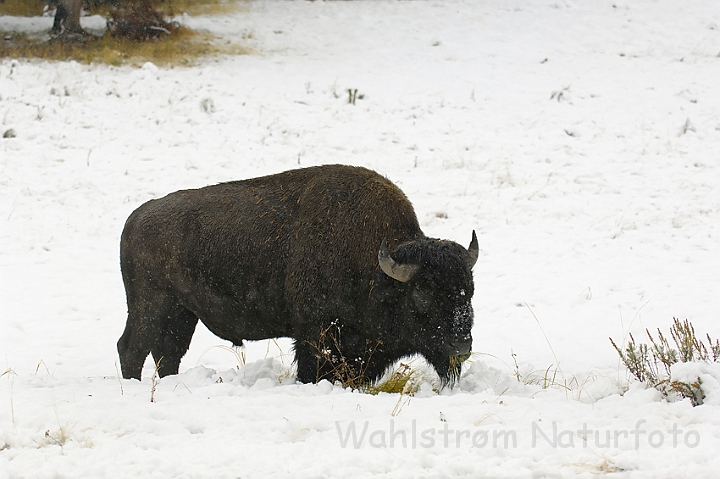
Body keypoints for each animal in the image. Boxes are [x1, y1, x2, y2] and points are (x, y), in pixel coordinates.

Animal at [118, 165, 478, 386]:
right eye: (423, 295)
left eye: (469, 291)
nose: (461, 346)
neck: (376, 269)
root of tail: (135, 218)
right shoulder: (314, 335)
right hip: (150, 305)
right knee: (131, 348)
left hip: (181, 312)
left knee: (167, 353)